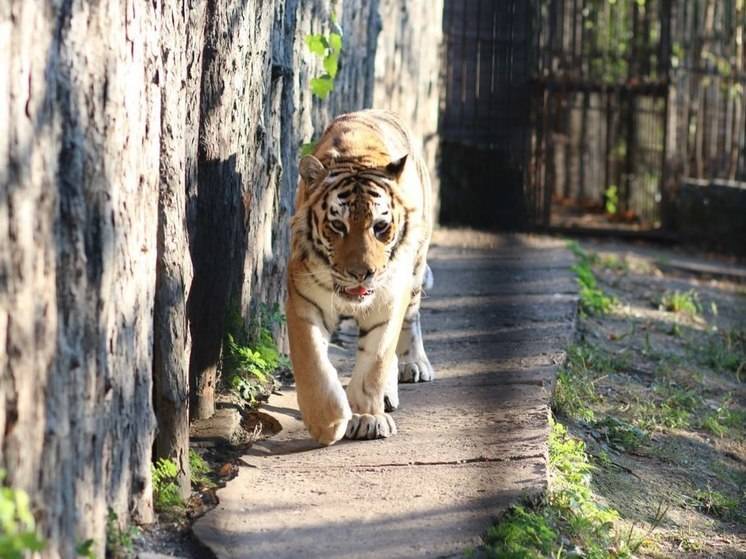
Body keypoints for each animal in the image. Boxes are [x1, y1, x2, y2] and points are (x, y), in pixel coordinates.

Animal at [286, 109, 436, 446]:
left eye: (380, 227)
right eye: (337, 226)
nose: (361, 274)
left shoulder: (389, 300)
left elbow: (375, 363)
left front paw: (368, 418)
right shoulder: (303, 298)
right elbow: (312, 363)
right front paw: (326, 422)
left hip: (415, 270)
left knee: (411, 321)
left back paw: (414, 365)